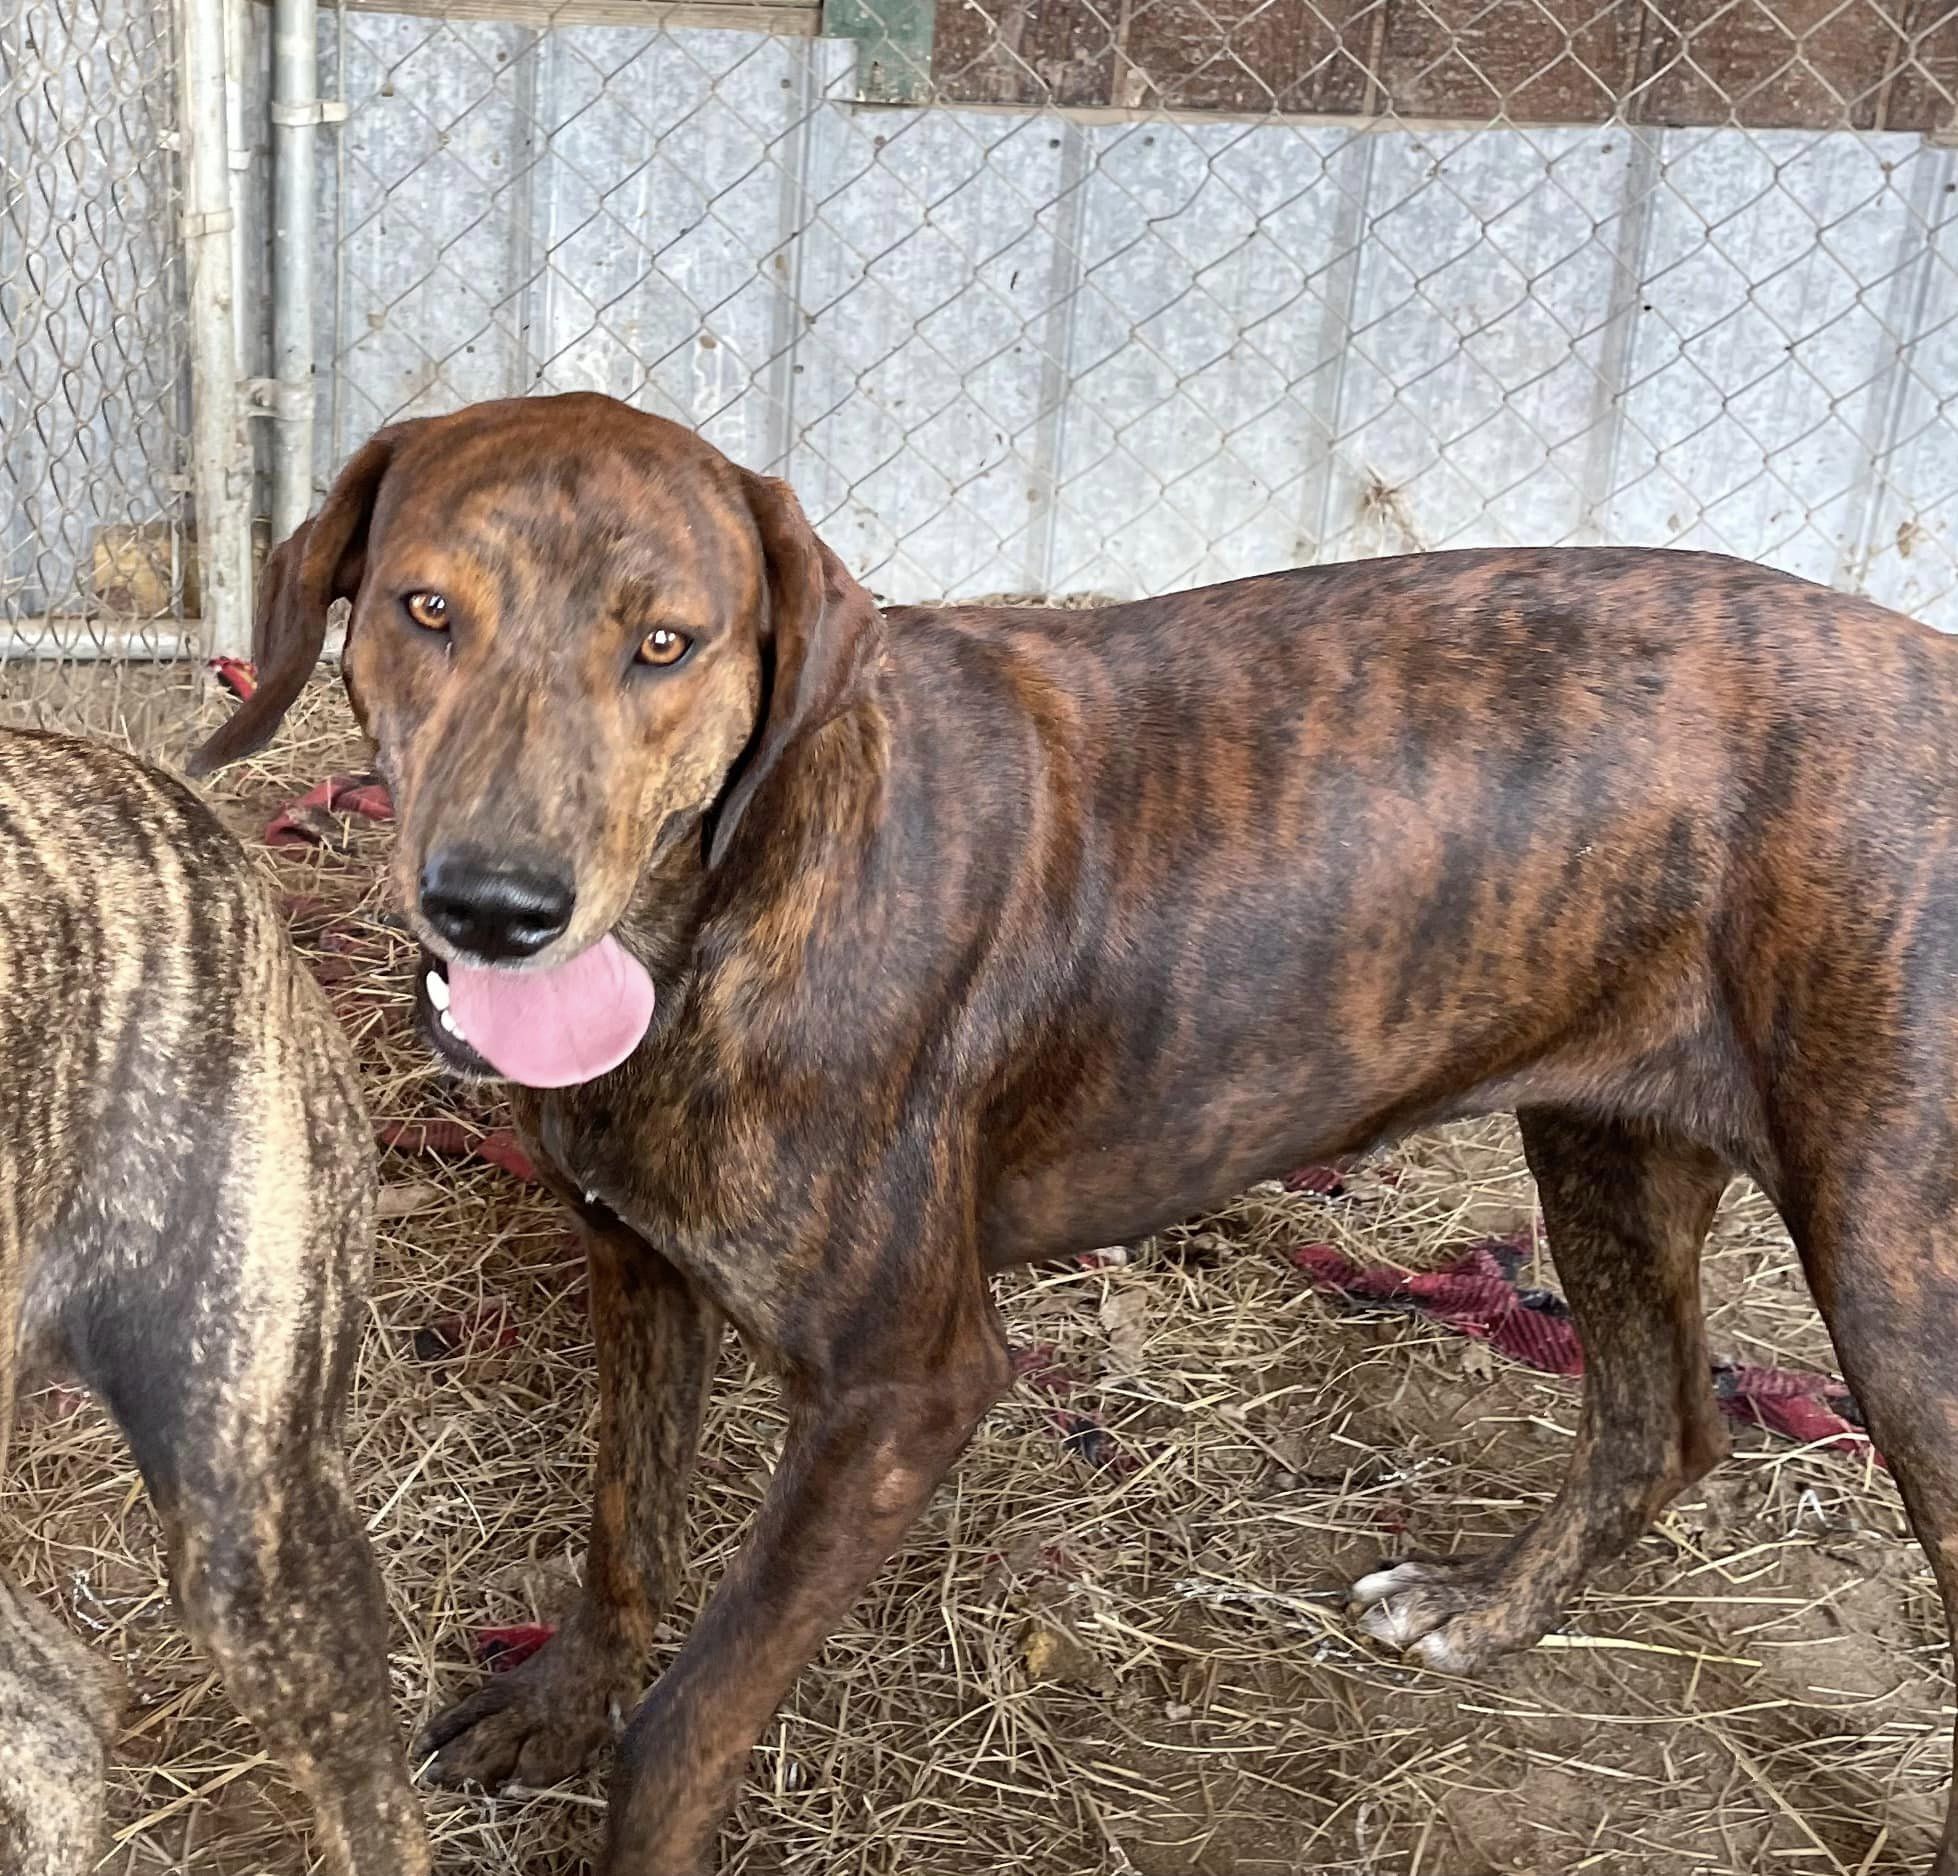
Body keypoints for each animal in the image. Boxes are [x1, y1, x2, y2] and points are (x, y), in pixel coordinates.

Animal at [190, 389, 1958, 1872]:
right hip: (1603, 1142)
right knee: (1658, 1421)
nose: (492, 909)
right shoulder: (636, 1268)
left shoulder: (902, 1394)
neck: (731, 893)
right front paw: (559, 1703)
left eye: (667, 645)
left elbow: (688, 1722)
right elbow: (623, 1536)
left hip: (1898, 1287)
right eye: (425, 609)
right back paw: (1471, 1612)